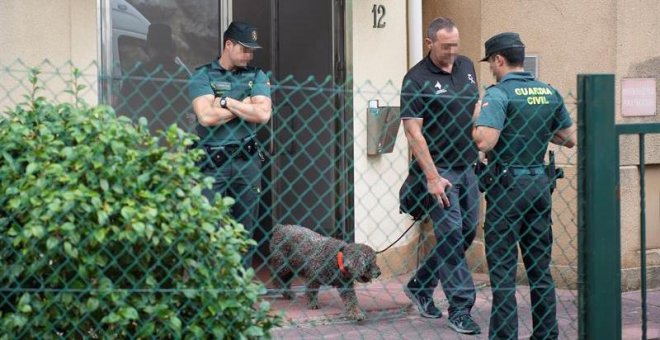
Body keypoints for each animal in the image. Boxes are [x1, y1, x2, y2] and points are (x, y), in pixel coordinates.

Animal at [189, 21, 272, 268]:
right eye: (245, 48)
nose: (251, 56)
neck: (230, 68)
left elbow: (259, 103)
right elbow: (210, 105)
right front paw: (224, 100)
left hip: (249, 184)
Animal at [472, 32, 576, 340]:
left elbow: (485, 137)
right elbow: (567, 135)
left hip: (502, 220)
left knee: (503, 280)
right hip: (539, 218)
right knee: (542, 277)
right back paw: (545, 333)